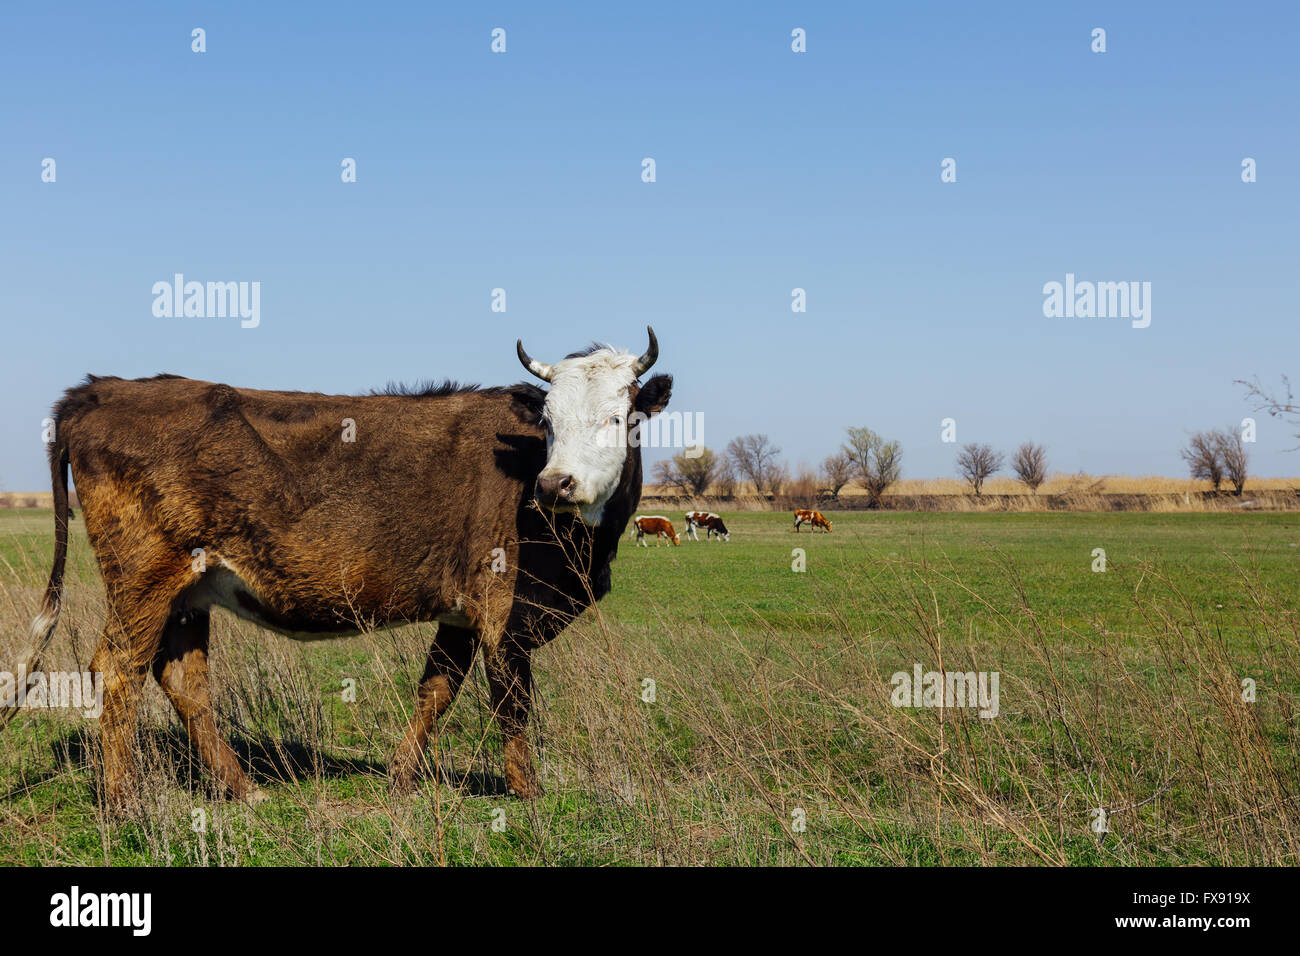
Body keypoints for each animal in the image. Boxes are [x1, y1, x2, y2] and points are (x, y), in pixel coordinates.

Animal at [0, 328, 671, 809]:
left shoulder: (460, 614)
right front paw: (526, 793)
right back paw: (123, 803)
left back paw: (242, 789)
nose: (555, 483)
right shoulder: (502, 610)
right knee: (117, 672)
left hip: (185, 593)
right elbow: (511, 700)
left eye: (618, 418)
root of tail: (97, 389)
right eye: (549, 423)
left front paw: (400, 779)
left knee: (183, 681)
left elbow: (436, 691)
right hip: (143, 580)